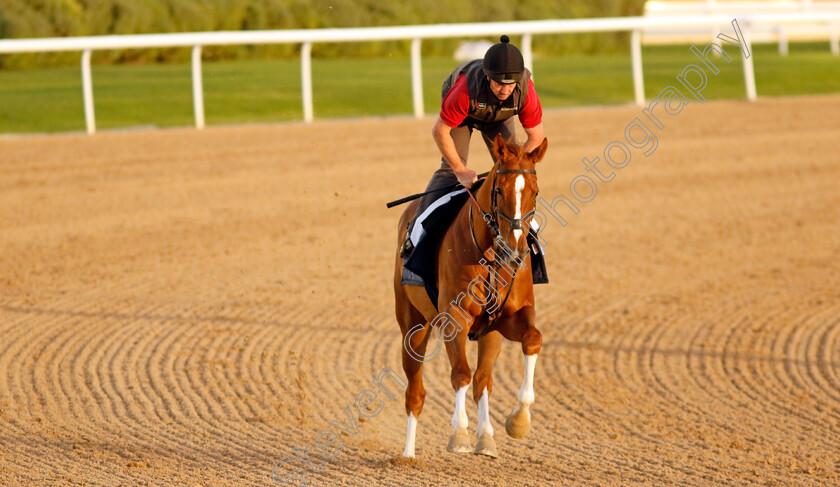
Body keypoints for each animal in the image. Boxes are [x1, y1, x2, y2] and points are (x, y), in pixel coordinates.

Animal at [396, 132, 552, 458]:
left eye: (535, 192)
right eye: (500, 190)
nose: (516, 250)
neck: (492, 256)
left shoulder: (510, 318)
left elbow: (533, 339)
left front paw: (519, 421)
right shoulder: (454, 318)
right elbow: (460, 373)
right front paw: (459, 434)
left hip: (489, 333)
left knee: (483, 380)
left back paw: (486, 438)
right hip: (413, 327)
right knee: (415, 391)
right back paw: (408, 454)